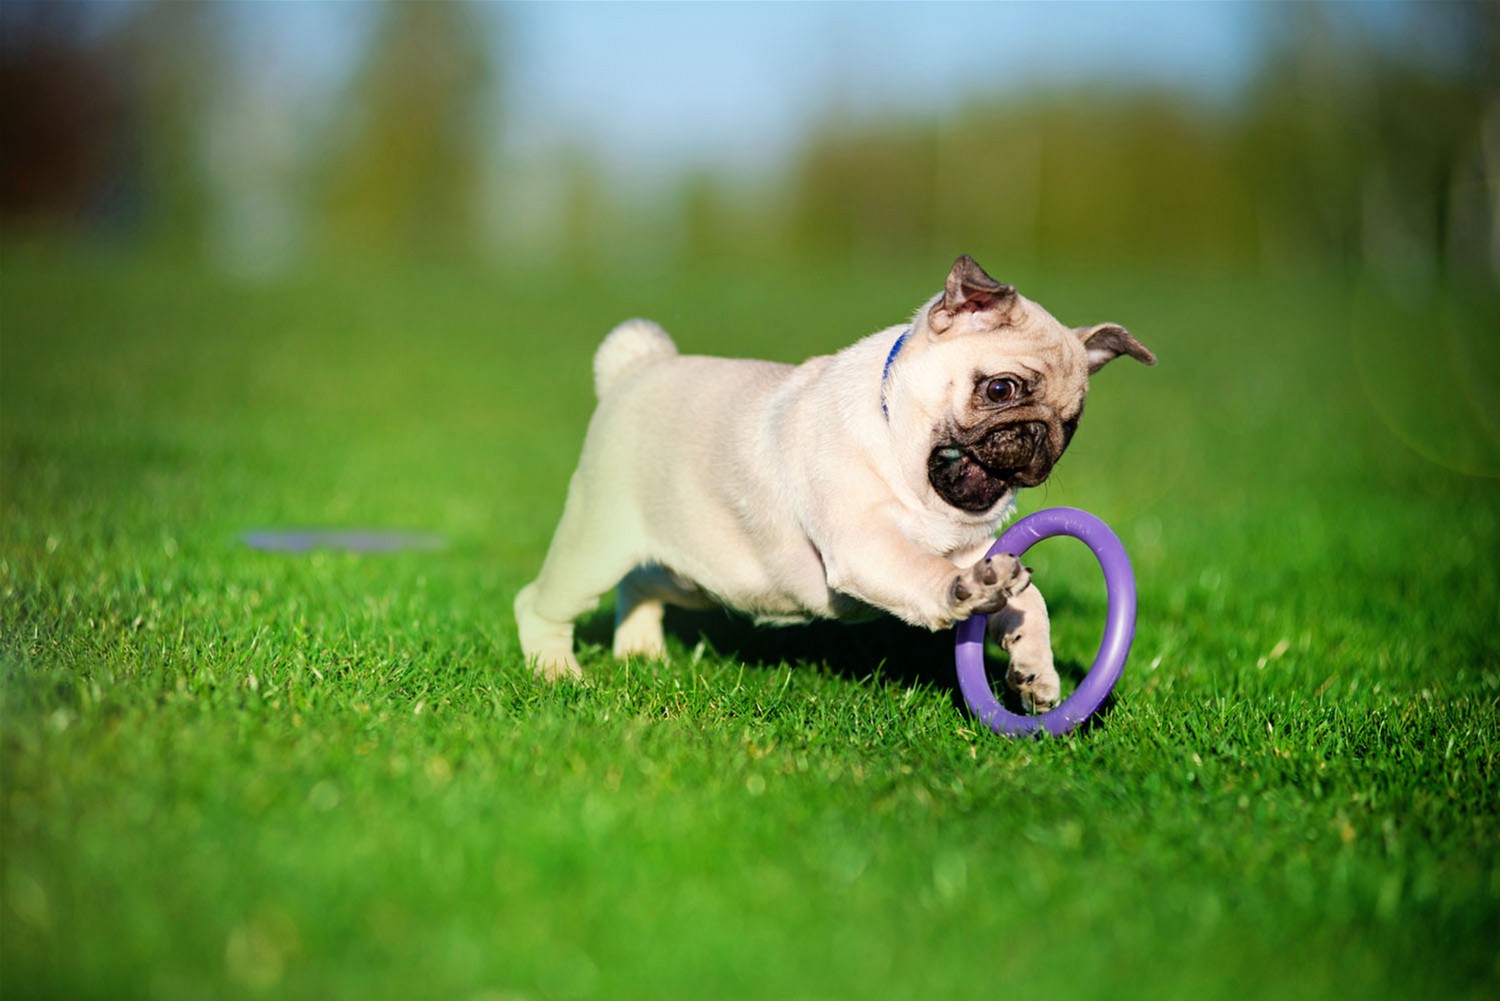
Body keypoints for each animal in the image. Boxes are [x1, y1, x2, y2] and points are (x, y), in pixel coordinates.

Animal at [510, 258, 1152, 711]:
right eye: (1001, 389)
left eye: (1072, 424)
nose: (1039, 437)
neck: (903, 456)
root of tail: (638, 369)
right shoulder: (868, 545)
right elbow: (926, 572)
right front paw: (961, 591)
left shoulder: (982, 548)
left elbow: (1029, 601)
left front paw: (1035, 672)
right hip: (598, 543)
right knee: (542, 603)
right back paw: (556, 673)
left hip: (698, 572)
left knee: (641, 585)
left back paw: (642, 652)